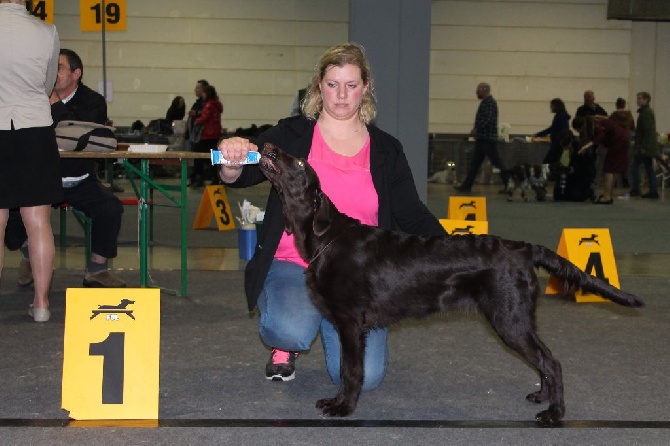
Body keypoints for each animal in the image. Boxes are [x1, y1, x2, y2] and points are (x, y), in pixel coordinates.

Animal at [258, 142, 644, 426]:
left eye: (300, 163)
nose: (268, 146)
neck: (327, 238)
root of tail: (522, 247)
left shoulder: (351, 323)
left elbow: (352, 371)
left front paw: (342, 408)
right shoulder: (345, 326)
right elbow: (342, 369)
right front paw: (338, 401)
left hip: (510, 319)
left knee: (552, 362)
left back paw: (554, 412)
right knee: (544, 361)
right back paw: (542, 397)